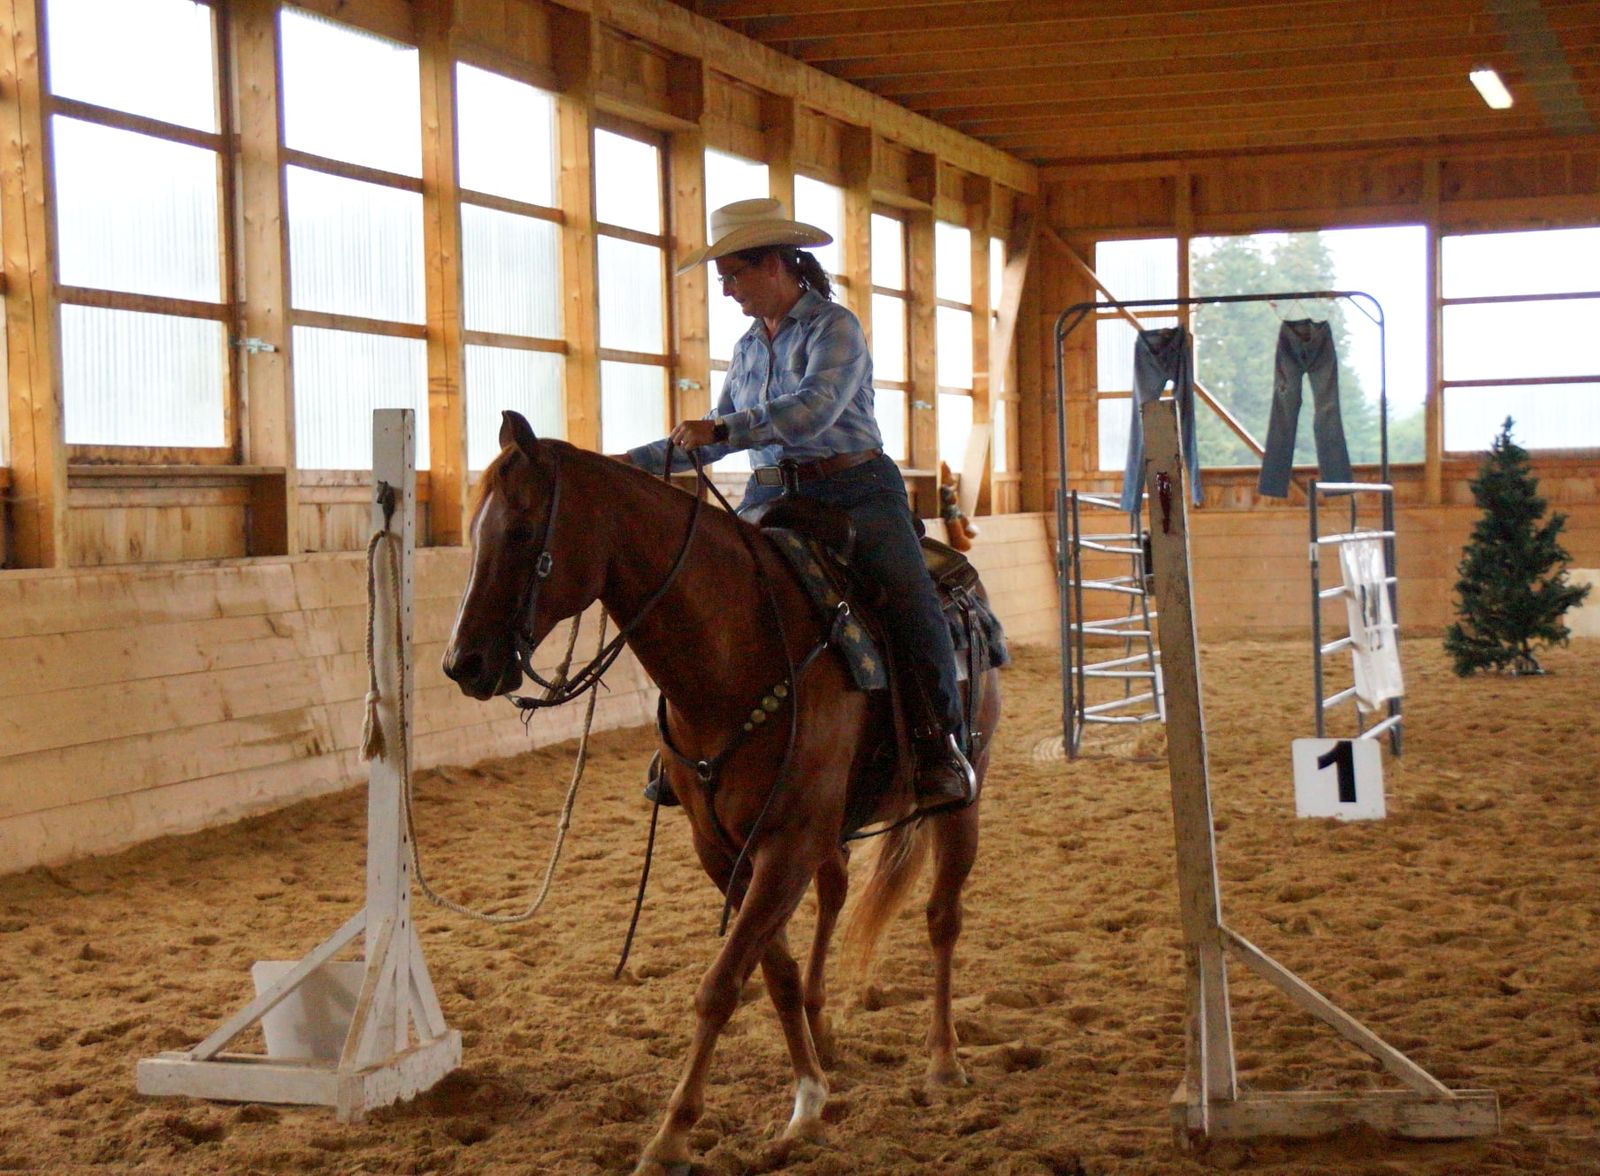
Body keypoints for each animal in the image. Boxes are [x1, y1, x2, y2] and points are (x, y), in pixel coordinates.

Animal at [442, 410, 1002, 1176]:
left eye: (523, 530)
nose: (462, 663)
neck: (736, 649)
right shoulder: (723, 847)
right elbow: (773, 969)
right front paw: (809, 1094)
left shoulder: (785, 844)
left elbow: (721, 983)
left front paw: (672, 1135)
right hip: (831, 830)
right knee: (836, 891)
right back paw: (827, 1034)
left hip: (963, 796)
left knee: (943, 918)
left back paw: (944, 1060)